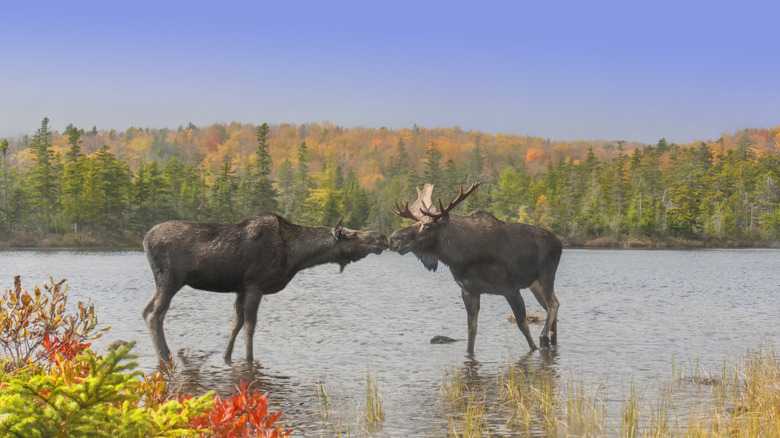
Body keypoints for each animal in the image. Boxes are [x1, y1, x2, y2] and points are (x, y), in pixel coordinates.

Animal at [388, 182, 560, 356]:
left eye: (428, 225)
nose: (393, 239)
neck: (462, 257)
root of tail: (559, 242)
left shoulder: (511, 289)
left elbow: (523, 327)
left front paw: (535, 347)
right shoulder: (469, 291)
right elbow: (472, 330)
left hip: (546, 276)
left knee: (554, 304)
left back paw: (544, 336)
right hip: (534, 284)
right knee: (550, 306)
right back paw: (552, 339)